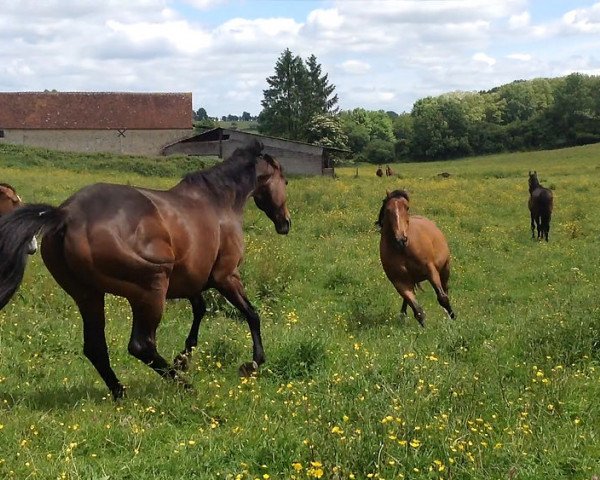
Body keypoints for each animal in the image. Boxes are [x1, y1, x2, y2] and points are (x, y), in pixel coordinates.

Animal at [0, 142, 290, 402]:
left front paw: (183, 358)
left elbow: (200, 310)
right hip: (151, 288)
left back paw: (121, 393)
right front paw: (253, 364)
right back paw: (185, 387)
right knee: (141, 345)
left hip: (88, 295)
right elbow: (251, 314)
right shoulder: (226, 276)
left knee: (95, 347)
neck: (220, 202)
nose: (285, 223)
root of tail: (67, 214)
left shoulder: (191, 281)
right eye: (285, 181)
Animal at [378, 189, 458, 328]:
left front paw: (452, 318)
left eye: (407, 207)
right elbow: (417, 309)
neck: (403, 250)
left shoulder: (431, 271)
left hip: (445, 269)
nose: (401, 239)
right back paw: (403, 315)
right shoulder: (399, 281)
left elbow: (442, 298)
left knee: (445, 289)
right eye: (388, 209)